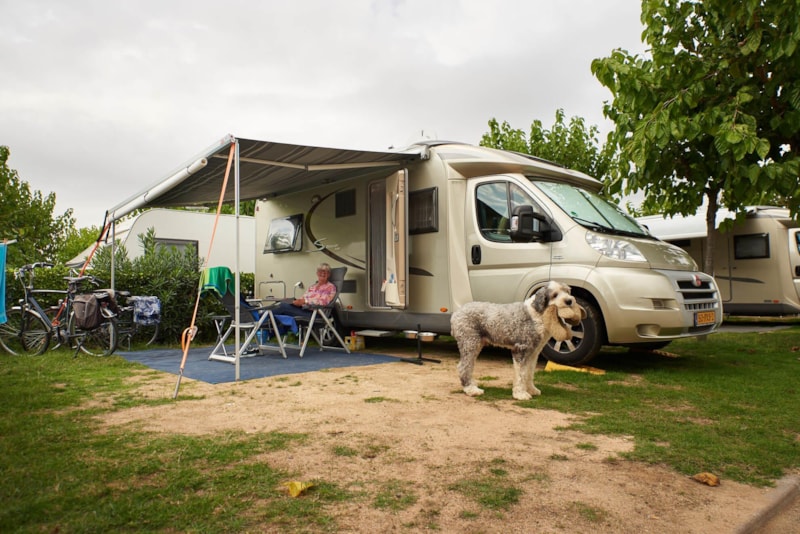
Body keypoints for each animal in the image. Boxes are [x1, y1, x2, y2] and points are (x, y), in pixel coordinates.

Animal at [450, 282, 588, 400]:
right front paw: (521, 394)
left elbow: (529, 372)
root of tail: (456, 313)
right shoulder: (521, 349)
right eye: (555, 295)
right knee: (463, 366)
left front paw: (532, 390)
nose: (569, 300)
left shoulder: (533, 353)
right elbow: (521, 373)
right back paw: (471, 390)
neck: (538, 313)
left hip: (476, 344)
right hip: (470, 343)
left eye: (567, 291)